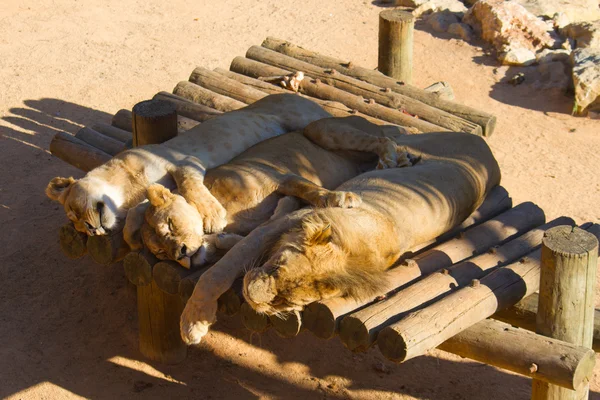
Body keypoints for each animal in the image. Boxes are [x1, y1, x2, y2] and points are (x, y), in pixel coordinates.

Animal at [44, 93, 330, 238]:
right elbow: (139, 213)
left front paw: (213, 217)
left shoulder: (182, 161)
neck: (124, 193)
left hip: (306, 118)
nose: (92, 230)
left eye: (74, 211)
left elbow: (190, 187)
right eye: (76, 223)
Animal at [123, 115, 410, 268]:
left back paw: (388, 160)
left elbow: (310, 190)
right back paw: (401, 160)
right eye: (161, 252)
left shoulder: (278, 175)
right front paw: (223, 240)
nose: (180, 254)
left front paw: (339, 198)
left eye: (170, 225)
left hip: (319, 129)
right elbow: (252, 237)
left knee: (384, 139)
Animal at [179, 130, 502, 344]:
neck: (356, 249)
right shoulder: (281, 225)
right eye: (276, 268)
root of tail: (486, 146)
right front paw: (194, 321)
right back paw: (392, 160)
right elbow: (217, 274)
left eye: (285, 301)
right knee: (383, 139)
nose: (248, 294)